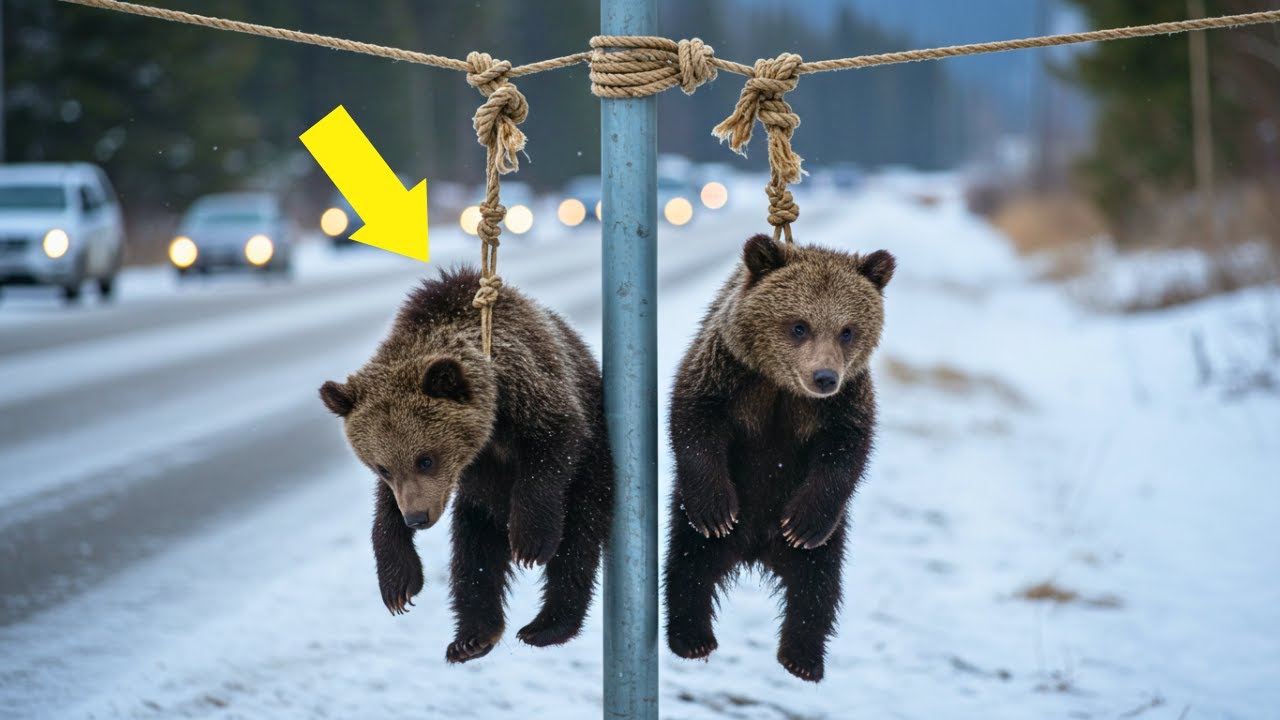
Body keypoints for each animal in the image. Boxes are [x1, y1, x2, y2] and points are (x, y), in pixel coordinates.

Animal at [319, 266, 614, 664]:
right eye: (383, 467)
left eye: (426, 458)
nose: (417, 518)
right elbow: (387, 510)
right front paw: (398, 584)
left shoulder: (537, 391)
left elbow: (553, 447)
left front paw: (530, 541)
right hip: (477, 505)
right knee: (474, 555)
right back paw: (473, 637)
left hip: (594, 467)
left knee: (578, 540)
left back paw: (547, 625)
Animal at [663, 234, 895, 682]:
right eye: (799, 325)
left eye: (847, 331)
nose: (824, 377)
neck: (782, 387)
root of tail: (756, 549)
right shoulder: (726, 373)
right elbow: (694, 421)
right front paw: (716, 510)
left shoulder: (843, 403)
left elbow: (847, 454)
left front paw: (802, 522)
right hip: (702, 522)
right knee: (690, 562)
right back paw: (692, 636)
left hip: (830, 538)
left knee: (818, 583)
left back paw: (802, 656)